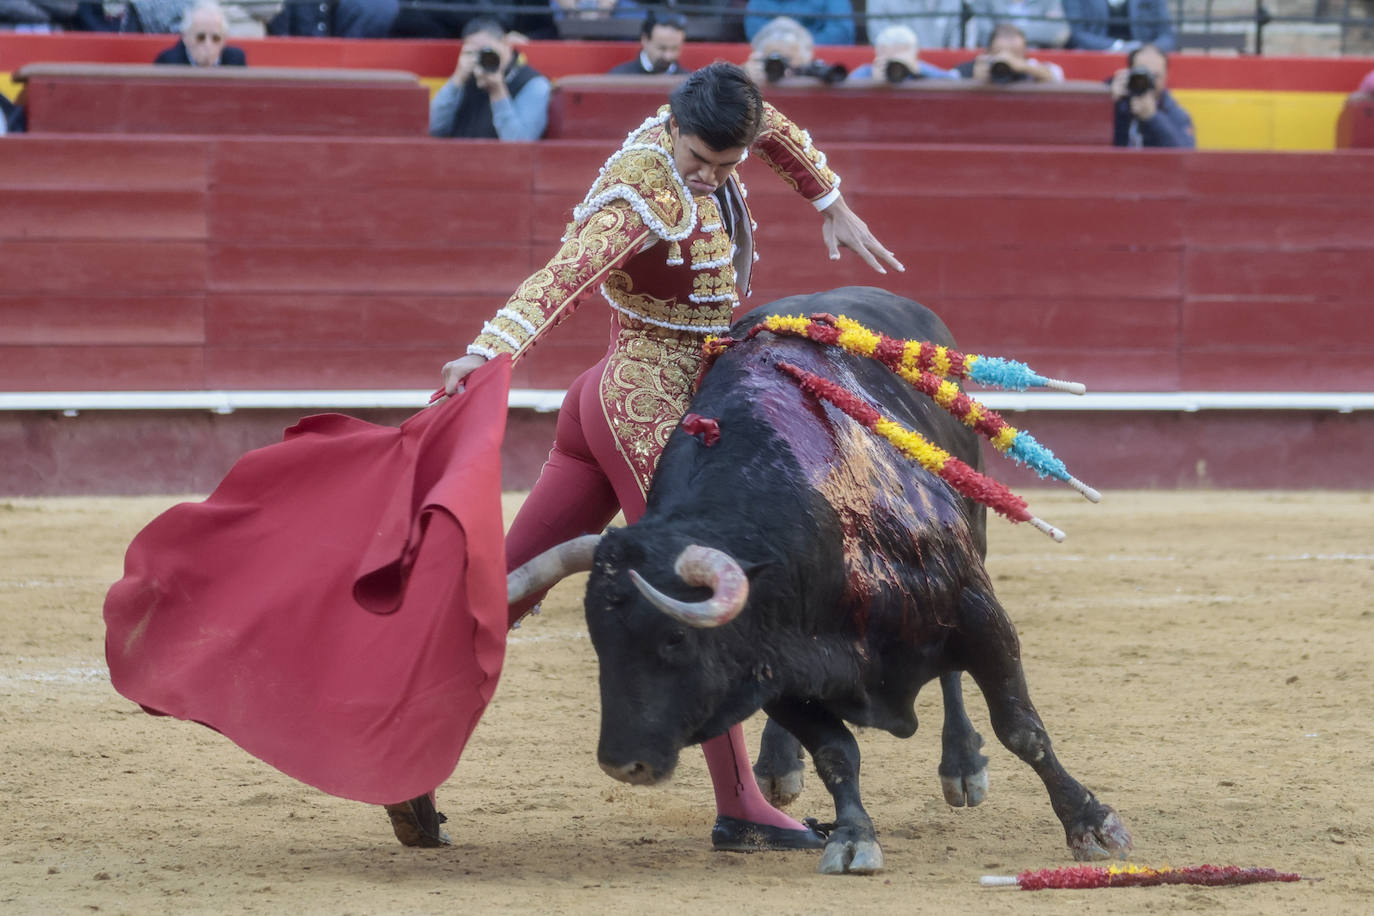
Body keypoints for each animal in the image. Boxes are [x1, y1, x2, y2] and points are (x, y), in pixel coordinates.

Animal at [511, 287, 1132, 873]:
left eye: (675, 638)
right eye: (599, 641)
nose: (623, 763)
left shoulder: (975, 610)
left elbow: (1020, 728)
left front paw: (1092, 822)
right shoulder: (776, 661)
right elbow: (837, 752)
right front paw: (852, 838)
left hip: (974, 541)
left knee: (955, 679)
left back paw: (961, 764)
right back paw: (777, 766)